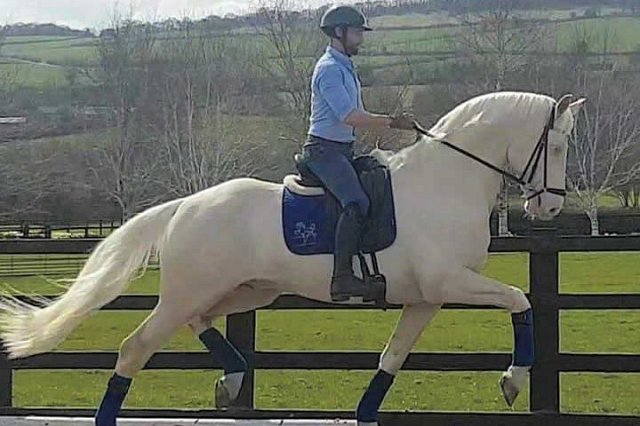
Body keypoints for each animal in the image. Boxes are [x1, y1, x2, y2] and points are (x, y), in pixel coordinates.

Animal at [0, 91, 586, 426]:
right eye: (557, 148)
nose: (551, 206)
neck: (447, 180)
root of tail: (185, 205)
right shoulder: (450, 283)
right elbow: (520, 299)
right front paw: (513, 379)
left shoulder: (425, 300)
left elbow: (391, 359)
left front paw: (366, 412)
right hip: (190, 292)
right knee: (134, 348)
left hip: (246, 290)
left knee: (201, 321)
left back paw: (231, 380)